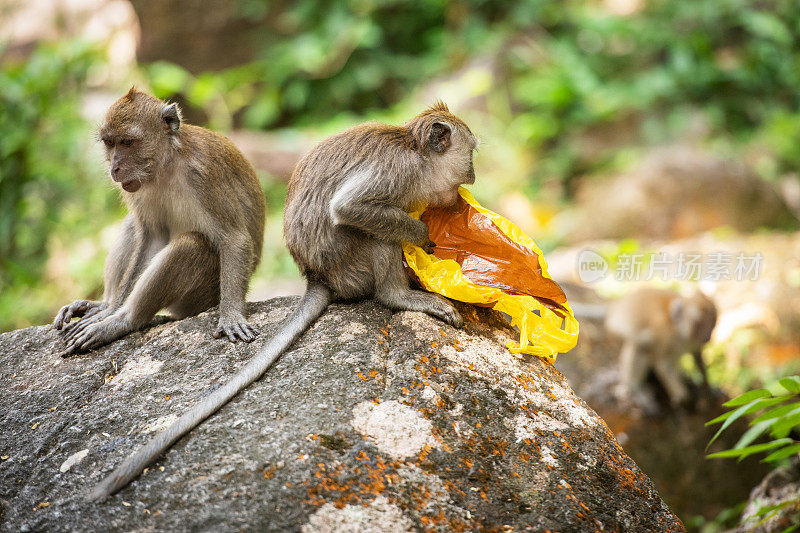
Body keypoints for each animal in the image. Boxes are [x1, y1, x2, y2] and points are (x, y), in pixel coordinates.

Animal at [54, 87, 266, 356]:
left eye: (127, 142)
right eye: (110, 143)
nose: (115, 168)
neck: (166, 165)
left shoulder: (205, 174)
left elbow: (234, 238)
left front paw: (231, 316)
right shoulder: (136, 188)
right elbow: (152, 238)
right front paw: (109, 309)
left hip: (201, 298)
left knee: (191, 244)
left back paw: (124, 322)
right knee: (134, 226)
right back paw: (105, 306)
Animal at [87, 102, 476, 500]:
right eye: (470, 155)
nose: (473, 176)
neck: (413, 151)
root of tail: (317, 276)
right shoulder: (398, 172)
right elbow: (350, 207)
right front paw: (422, 234)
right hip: (349, 263)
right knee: (372, 233)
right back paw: (400, 295)